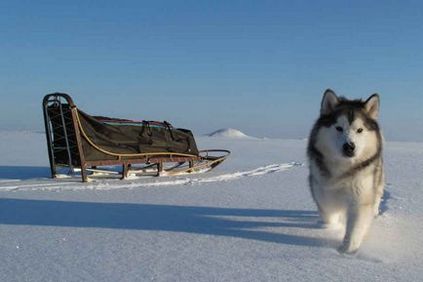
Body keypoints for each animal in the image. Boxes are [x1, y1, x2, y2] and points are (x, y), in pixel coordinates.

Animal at [308, 88, 384, 253]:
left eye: (360, 130)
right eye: (339, 128)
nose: (349, 146)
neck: (343, 169)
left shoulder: (360, 199)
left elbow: (354, 228)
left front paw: (346, 251)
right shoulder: (324, 195)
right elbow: (328, 214)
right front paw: (328, 230)